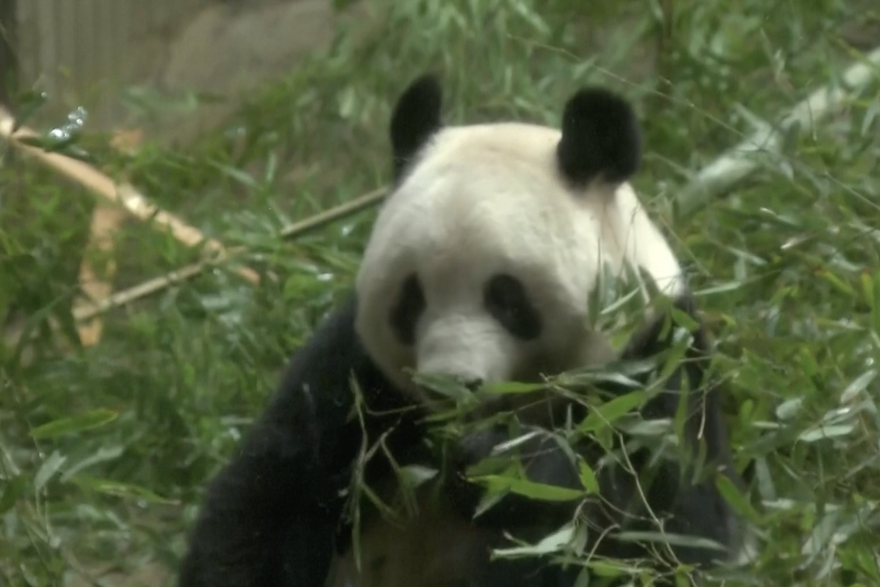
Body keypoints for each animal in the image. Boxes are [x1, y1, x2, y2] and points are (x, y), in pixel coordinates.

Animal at [180, 74, 748, 587]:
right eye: (411, 297)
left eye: (505, 297)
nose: (452, 385)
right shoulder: (355, 379)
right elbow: (265, 499)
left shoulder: (656, 366)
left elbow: (663, 526)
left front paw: (501, 465)